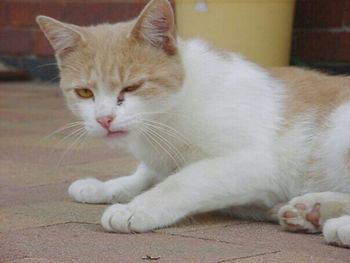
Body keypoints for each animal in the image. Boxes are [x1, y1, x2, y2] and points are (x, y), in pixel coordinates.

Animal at [36, 0, 350, 248]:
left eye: (133, 87)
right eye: (84, 93)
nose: (104, 119)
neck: (171, 113)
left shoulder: (254, 163)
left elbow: (184, 181)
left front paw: (135, 209)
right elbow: (144, 175)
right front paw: (102, 187)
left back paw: (336, 224)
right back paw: (309, 210)